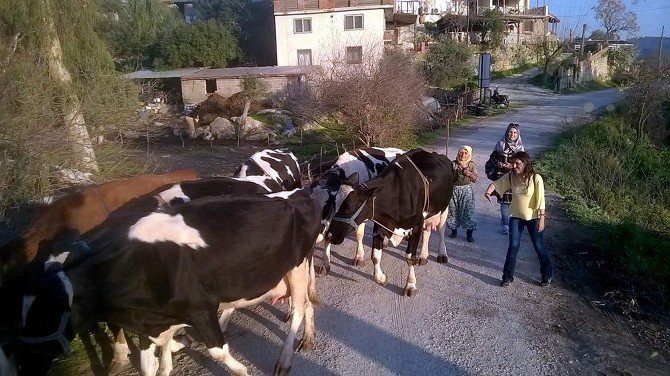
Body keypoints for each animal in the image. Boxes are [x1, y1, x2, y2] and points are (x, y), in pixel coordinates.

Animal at [11, 189, 322, 376]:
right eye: (20, 315)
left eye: (45, 316)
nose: (24, 364)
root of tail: (296, 196)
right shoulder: (149, 323)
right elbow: (150, 363)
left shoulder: (200, 309)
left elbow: (218, 351)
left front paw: (241, 370)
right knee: (307, 305)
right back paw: (307, 339)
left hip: (296, 268)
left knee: (298, 309)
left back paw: (284, 360)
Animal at [308, 146, 404, 274]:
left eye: (327, 207)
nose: (315, 235)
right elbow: (328, 236)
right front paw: (325, 264)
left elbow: (359, 234)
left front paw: (359, 257)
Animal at [326, 149, 456, 296]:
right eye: (333, 204)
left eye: (349, 207)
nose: (330, 235)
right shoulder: (380, 224)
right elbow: (375, 255)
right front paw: (381, 278)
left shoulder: (416, 226)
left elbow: (410, 257)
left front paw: (410, 285)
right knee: (427, 231)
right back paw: (423, 256)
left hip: (444, 208)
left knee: (441, 230)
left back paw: (442, 254)